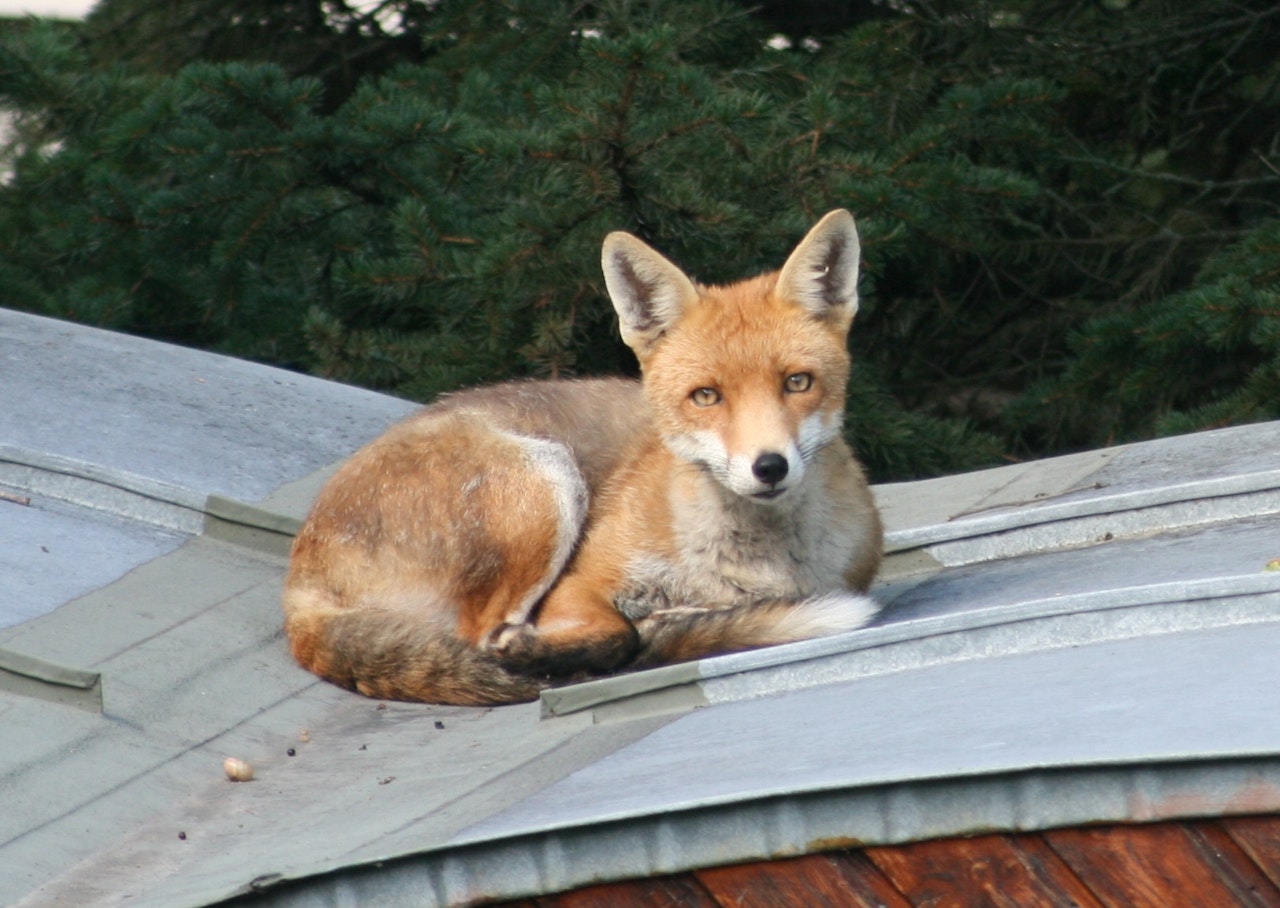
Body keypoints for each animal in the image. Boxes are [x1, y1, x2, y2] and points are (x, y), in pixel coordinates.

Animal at [282, 209, 883, 705]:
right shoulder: (580, 583)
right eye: (707, 396)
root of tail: (300, 577)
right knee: (484, 635)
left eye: (797, 382)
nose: (769, 466)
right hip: (546, 481)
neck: (747, 568)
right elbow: (619, 634)